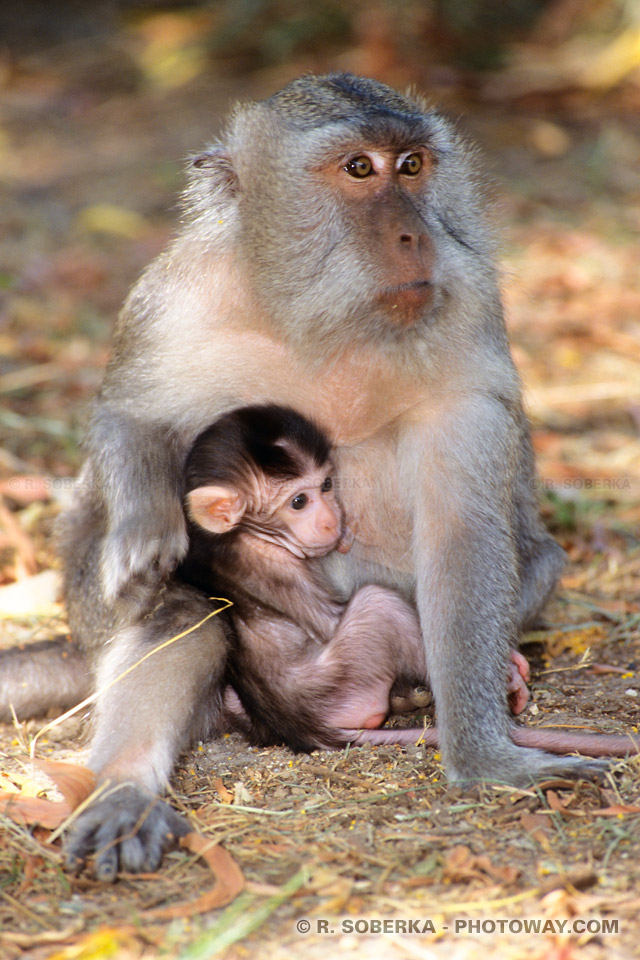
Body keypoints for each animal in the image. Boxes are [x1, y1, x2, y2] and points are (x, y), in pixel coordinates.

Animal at [181, 404, 640, 756]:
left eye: (326, 485)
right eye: (298, 502)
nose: (332, 519)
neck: (243, 535)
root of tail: (303, 729)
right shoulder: (275, 566)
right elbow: (329, 621)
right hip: (342, 685)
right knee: (378, 606)